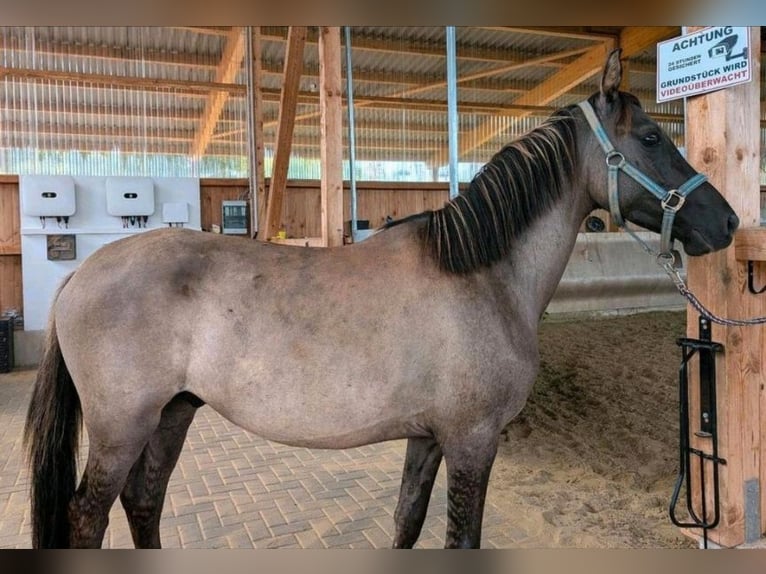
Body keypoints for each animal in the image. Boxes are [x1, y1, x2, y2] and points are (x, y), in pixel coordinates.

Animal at [25, 49, 736, 548]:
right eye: (652, 138)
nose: (726, 222)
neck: (482, 274)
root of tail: (81, 276)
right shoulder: (473, 442)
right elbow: (461, 538)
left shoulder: (428, 439)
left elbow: (406, 523)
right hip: (121, 427)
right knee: (88, 515)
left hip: (173, 412)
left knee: (143, 502)